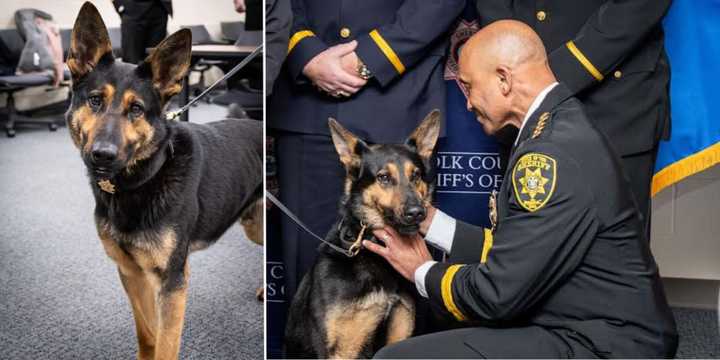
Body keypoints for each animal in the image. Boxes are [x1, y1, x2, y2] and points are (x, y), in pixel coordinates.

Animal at [66, 3, 262, 360]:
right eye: (96, 100)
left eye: (137, 109)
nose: (102, 156)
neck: (144, 178)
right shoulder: (131, 273)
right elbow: (147, 332)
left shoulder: (173, 283)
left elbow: (166, 343)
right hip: (254, 224)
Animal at [284, 112, 442, 358]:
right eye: (383, 177)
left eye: (416, 176)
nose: (417, 213)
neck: (373, 252)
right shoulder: (341, 350)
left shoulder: (398, 333)